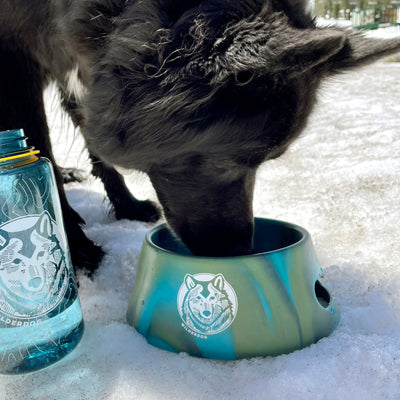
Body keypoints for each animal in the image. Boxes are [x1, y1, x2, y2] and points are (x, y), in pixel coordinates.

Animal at [0, 0, 400, 272]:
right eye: (230, 161)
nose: (239, 252)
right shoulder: (17, 59)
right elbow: (40, 149)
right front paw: (70, 245)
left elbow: (93, 141)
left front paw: (127, 205)